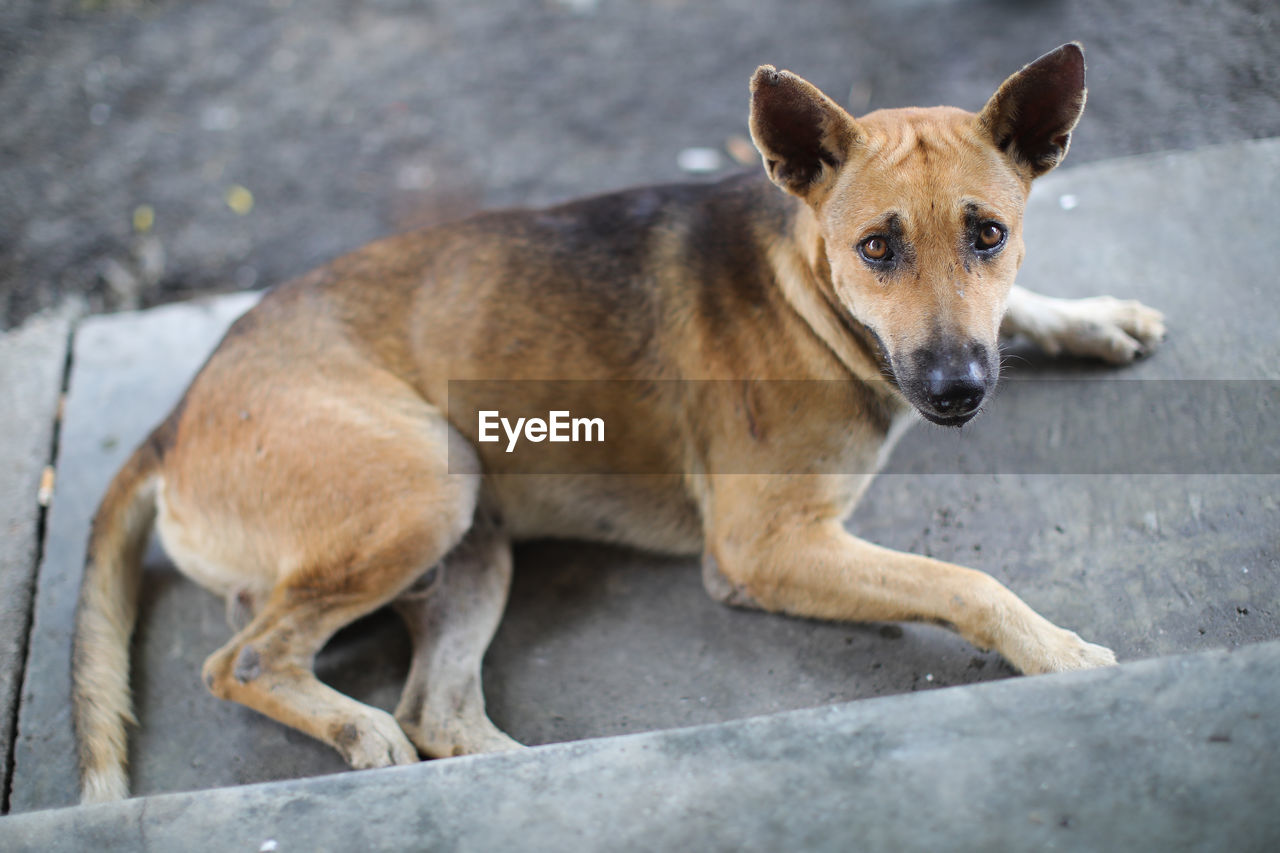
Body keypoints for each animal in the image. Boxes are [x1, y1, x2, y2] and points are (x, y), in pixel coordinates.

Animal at [74, 43, 1167, 799]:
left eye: (989, 234)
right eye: (874, 248)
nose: (956, 390)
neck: (804, 286)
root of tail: (174, 415)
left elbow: (1017, 313)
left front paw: (1087, 315)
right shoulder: (764, 548)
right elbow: (965, 582)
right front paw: (1057, 654)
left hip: (471, 543)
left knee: (439, 710)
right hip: (425, 487)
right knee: (247, 658)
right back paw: (354, 730)